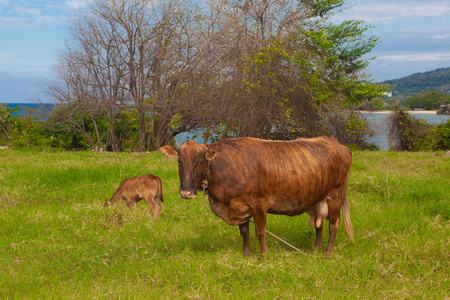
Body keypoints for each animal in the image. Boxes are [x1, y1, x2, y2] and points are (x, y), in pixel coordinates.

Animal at [162, 137, 356, 256]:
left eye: (199, 162)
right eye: (180, 161)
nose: (185, 192)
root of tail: (336, 143)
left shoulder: (259, 203)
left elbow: (260, 231)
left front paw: (263, 255)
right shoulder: (239, 206)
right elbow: (244, 232)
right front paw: (246, 254)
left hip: (336, 196)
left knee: (333, 225)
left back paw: (327, 253)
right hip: (318, 199)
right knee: (319, 225)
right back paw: (316, 249)